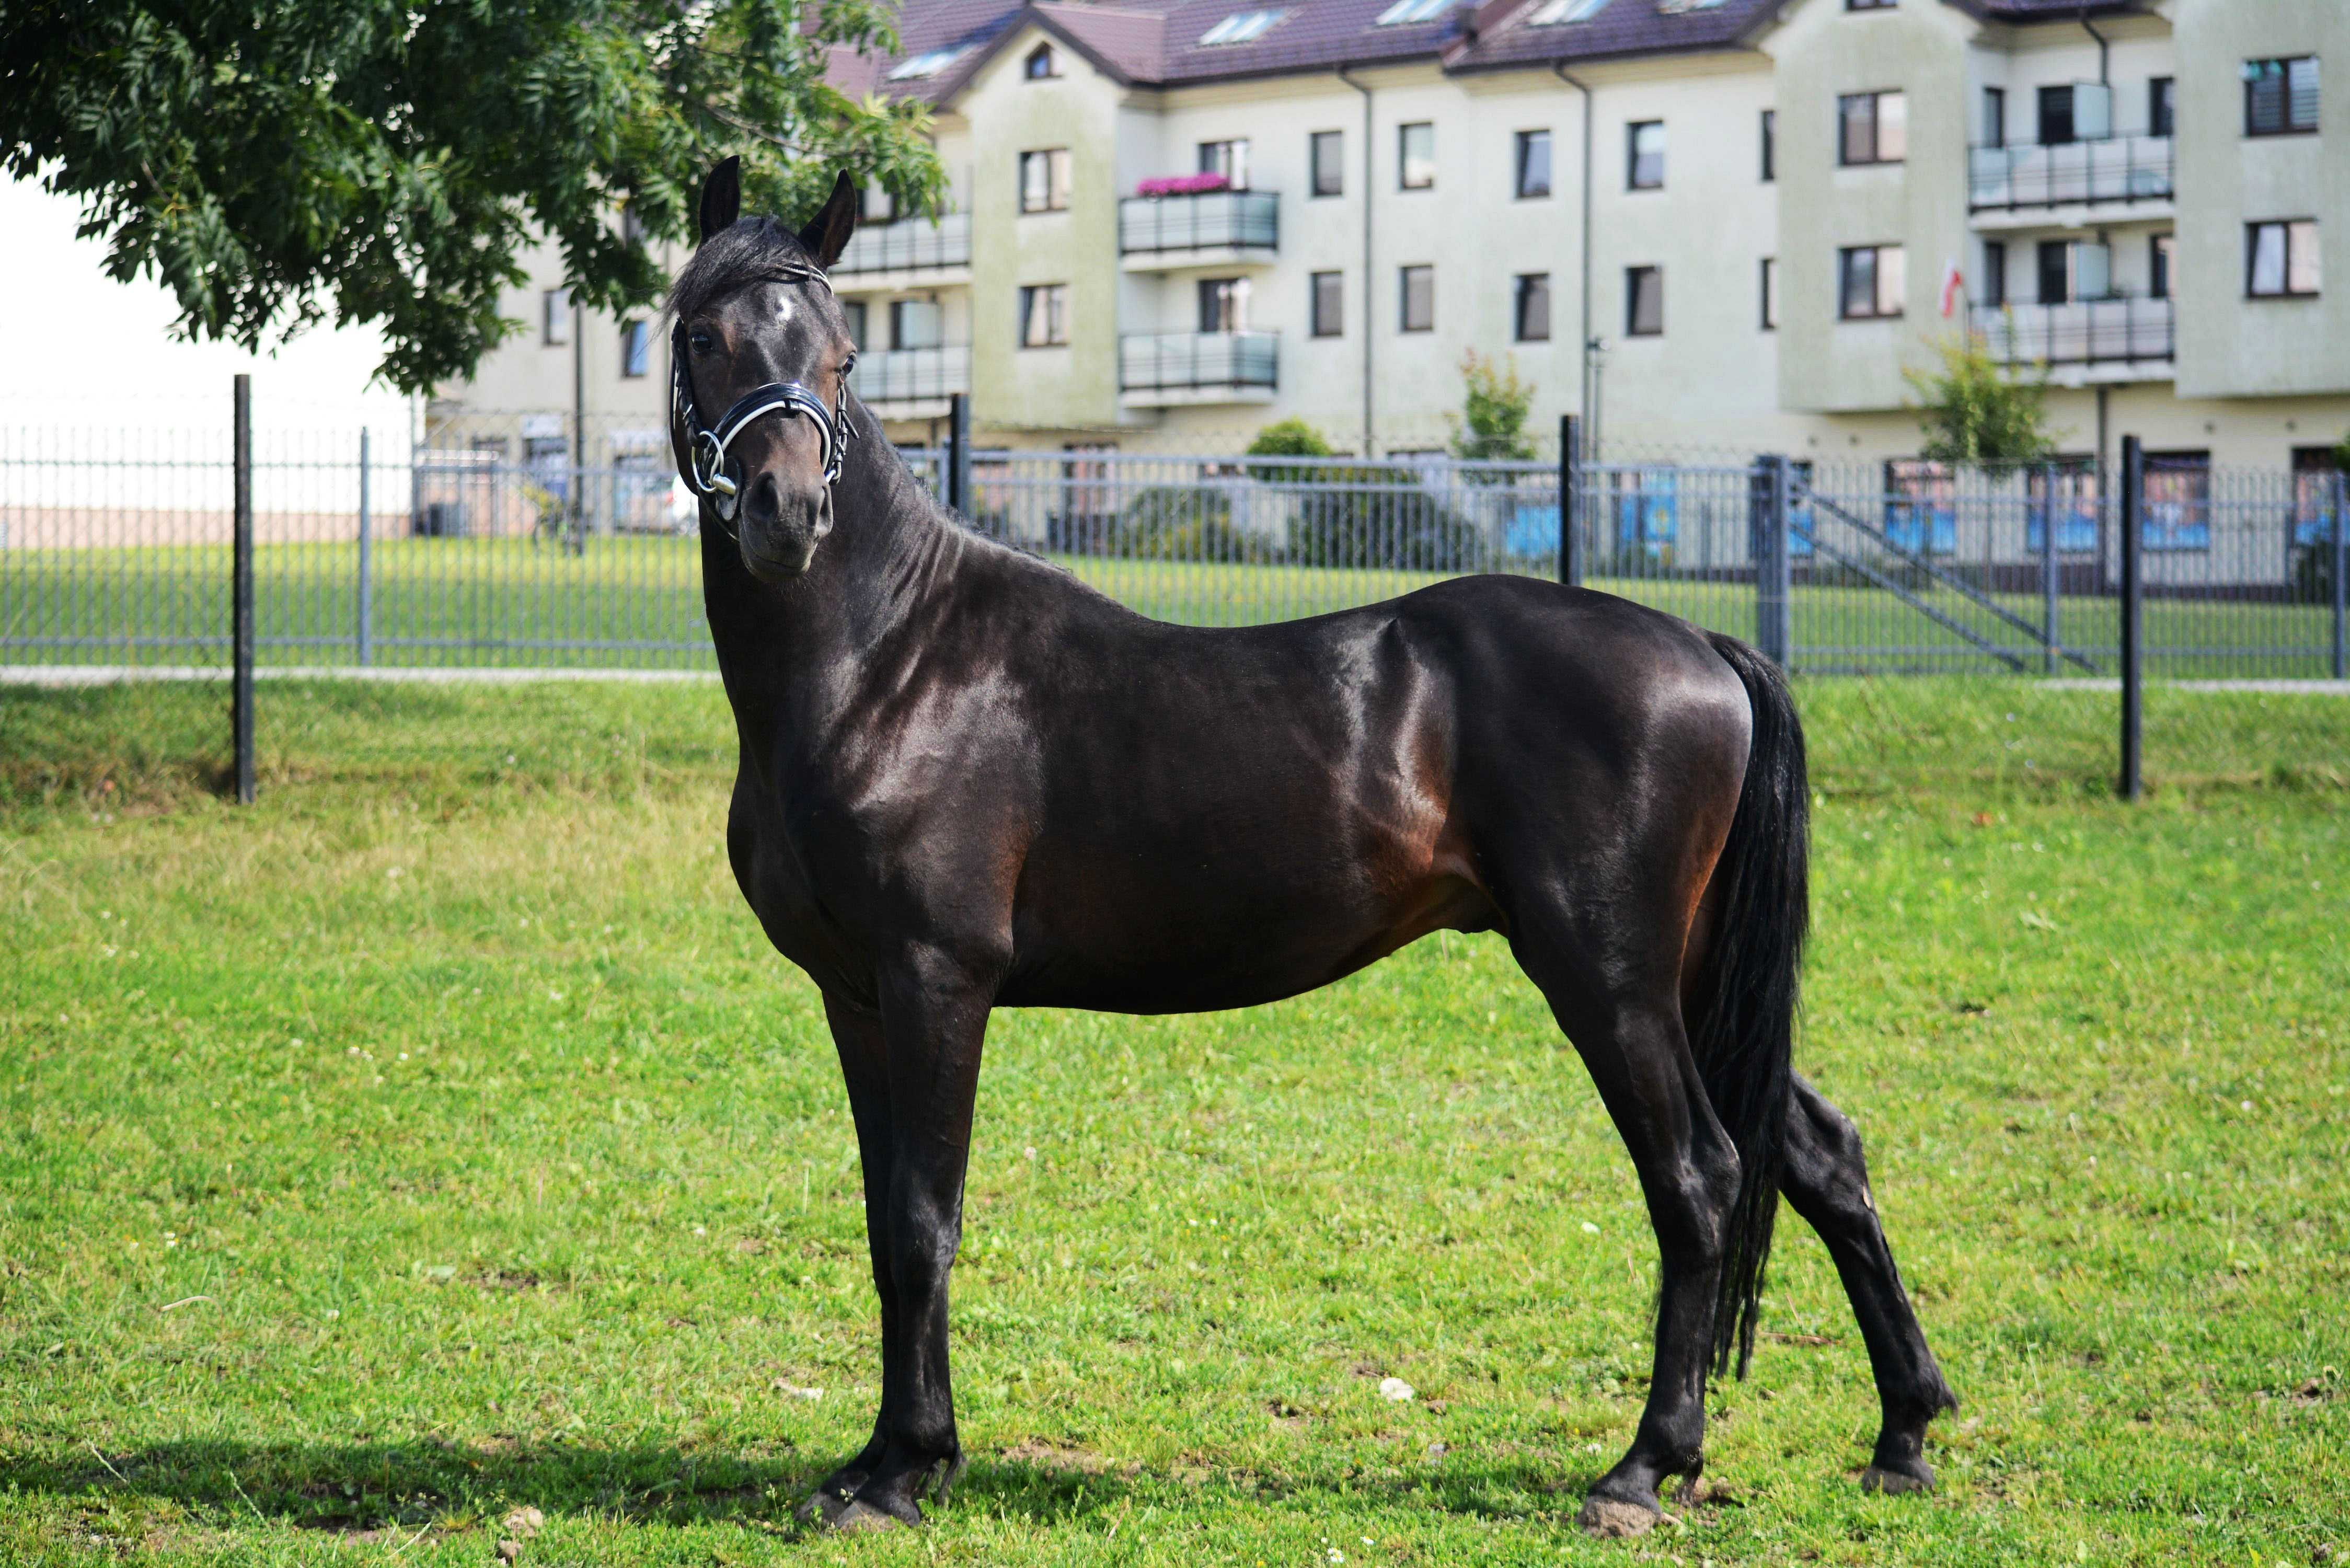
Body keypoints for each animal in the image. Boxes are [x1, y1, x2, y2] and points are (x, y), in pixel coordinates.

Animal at [662, 162, 1945, 1542]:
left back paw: (1646, 1467)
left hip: (1609, 978)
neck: (893, 662)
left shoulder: (935, 980)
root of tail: (1703, 645)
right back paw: (1903, 1433)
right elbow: (881, 1217)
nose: (789, 514)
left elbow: (920, 1220)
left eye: (840, 356)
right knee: (1817, 1154)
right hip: (1693, 977)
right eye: (703, 338)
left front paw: (905, 1468)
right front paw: (880, 1457)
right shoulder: (856, 996)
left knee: (1700, 1176)